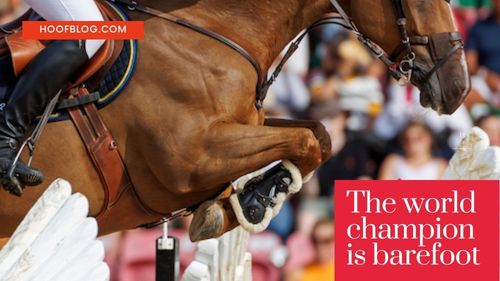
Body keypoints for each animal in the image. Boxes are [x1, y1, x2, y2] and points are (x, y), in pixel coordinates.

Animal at [0, 0, 468, 236]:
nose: (459, 86)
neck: (210, 29)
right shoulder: (190, 160)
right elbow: (308, 141)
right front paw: (251, 201)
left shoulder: (242, 129)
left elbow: (319, 135)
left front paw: (251, 199)